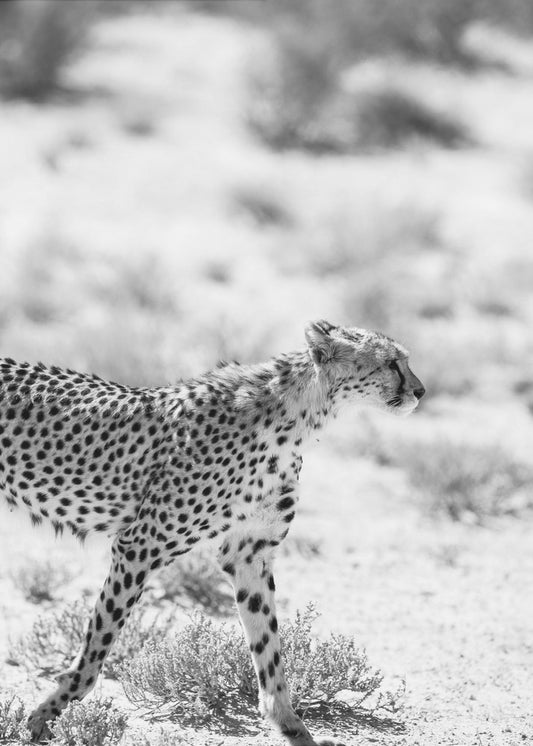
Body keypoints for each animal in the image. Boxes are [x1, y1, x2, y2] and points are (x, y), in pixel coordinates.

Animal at [0, 319, 424, 746]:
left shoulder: (249, 554)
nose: (420, 391)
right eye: (391, 363)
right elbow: (99, 641)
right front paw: (45, 716)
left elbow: (268, 644)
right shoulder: (139, 545)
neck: (296, 417)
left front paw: (290, 724)